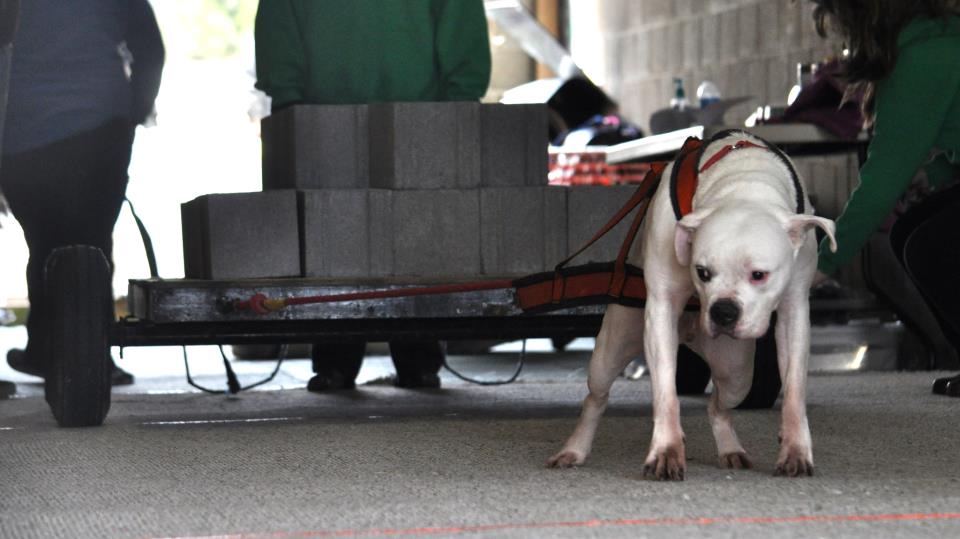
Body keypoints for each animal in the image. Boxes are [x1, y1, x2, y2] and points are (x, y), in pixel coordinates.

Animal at [548, 130, 832, 480]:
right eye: (702, 272)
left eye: (759, 275)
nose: (723, 312)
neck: (743, 183)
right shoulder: (661, 310)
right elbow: (666, 394)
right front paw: (666, 452)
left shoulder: (794, 311)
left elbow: (794, 391)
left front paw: (795, 450)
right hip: (610, 352)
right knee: (595, 399)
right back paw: (573, 450)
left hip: (737, 374)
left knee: (718, 405)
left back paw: (731, 449)